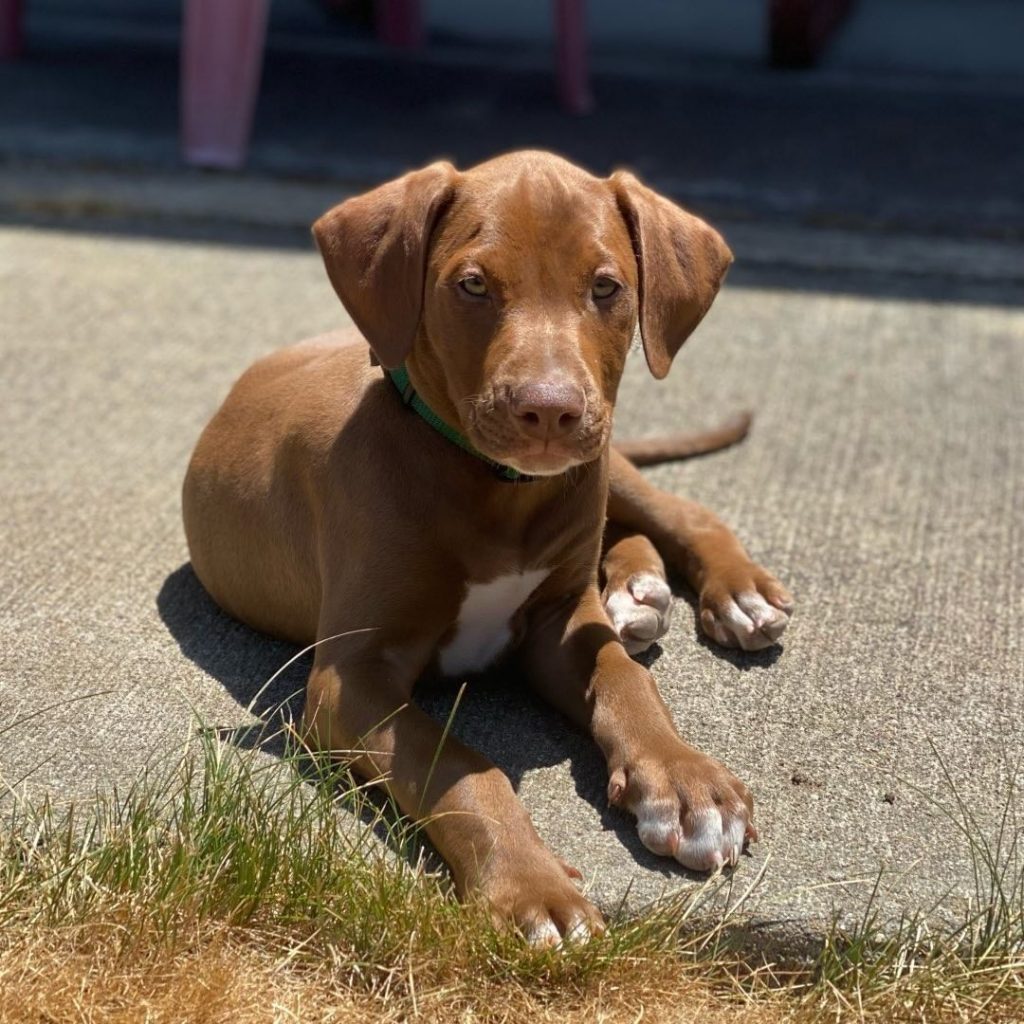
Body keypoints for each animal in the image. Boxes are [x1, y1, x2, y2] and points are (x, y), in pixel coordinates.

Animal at [184, 151, 790, 942]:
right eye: (473, 285)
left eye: (606, 287)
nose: (549, 411)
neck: (496, 490)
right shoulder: (351, 678)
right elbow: (455, 764)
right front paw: (533, 888)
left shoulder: (559, 620)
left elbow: (624, 680)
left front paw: (687, 784)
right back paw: (637, 594)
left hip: (606, 459)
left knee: (677, 512)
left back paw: (723, 593)